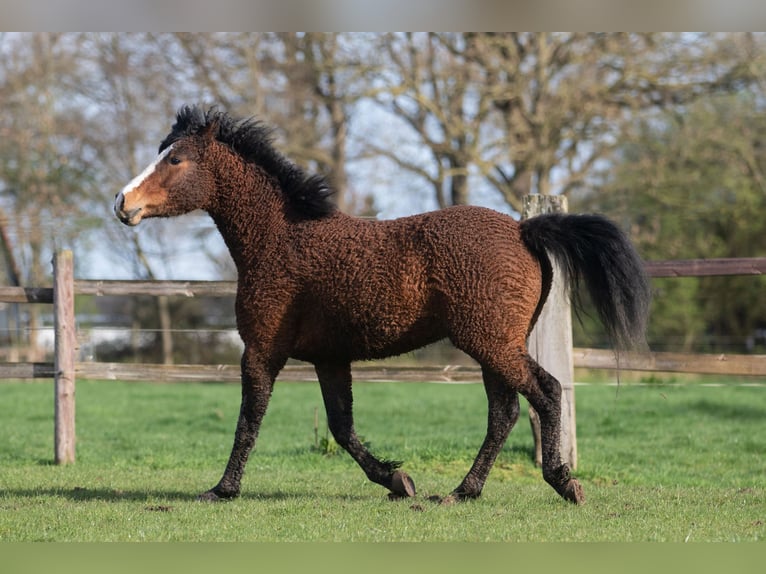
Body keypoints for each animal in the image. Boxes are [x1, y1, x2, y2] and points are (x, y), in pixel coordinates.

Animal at [114, 106, 652, 506]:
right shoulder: (330, 358)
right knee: (505, 413)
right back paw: (462, 491)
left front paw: (222, 490)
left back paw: (563, 482)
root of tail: (524, 229)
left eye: (176, 159)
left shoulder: (262, 349)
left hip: (491, 343)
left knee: (546, 391)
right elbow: (342, 427)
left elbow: (250, 420)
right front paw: (398, 480)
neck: (279, 240)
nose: (122, 203)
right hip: (494, 346)